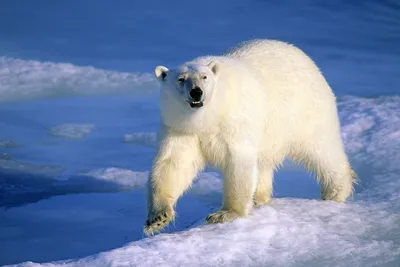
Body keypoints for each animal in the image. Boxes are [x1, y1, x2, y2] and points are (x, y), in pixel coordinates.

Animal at [145, 39, 358, 237]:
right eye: (181, 79)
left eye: (204, 77)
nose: (196, 92)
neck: (209, 117)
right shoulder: (180, 128)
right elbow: (173, 164)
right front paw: (158, 218)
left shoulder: (234, 122)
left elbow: (238, 161)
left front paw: (225, 214)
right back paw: (259, 198)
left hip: (306, 111)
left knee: (322, 150)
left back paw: (335, 192)